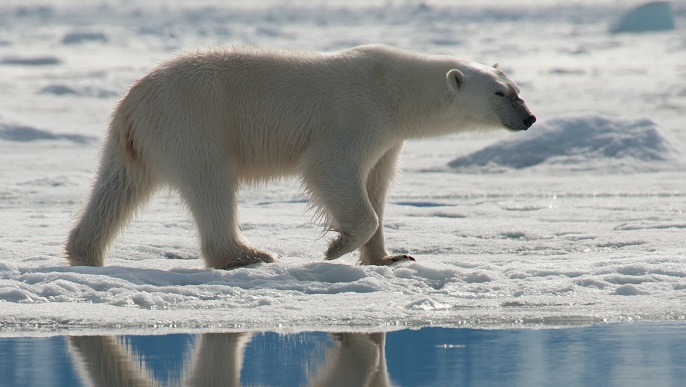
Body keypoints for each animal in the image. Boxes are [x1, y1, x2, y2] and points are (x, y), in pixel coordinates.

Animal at [64, 44, 536, 270]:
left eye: (516, 88)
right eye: (500, 94)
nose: (530, 118)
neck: (396, 89)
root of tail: (132, 103)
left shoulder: (389, 139)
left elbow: (377, 184)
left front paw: (390, 257)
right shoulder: (358, 114)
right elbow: (331, 168)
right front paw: (335, 247)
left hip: (136, 142)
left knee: (117, 188)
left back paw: (85, 253)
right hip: (195, 121)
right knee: (211, 184)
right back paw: (248, 255)